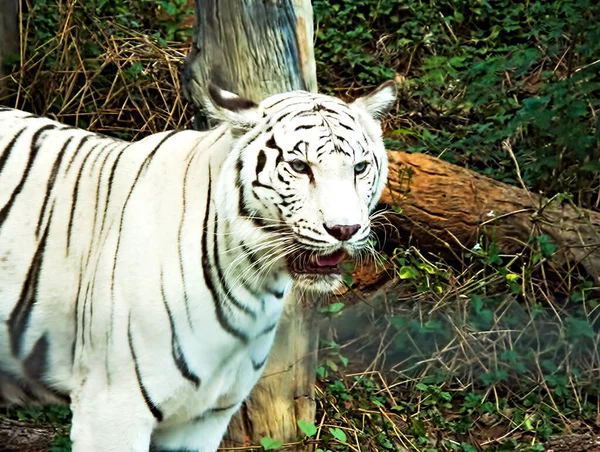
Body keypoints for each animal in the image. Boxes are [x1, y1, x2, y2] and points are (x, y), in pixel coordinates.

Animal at [0, 82, 398, 452]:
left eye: (360, 168)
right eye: (300, 167)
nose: (345, 229)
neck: (253, 283)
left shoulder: (205, 419)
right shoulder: (112, 409)